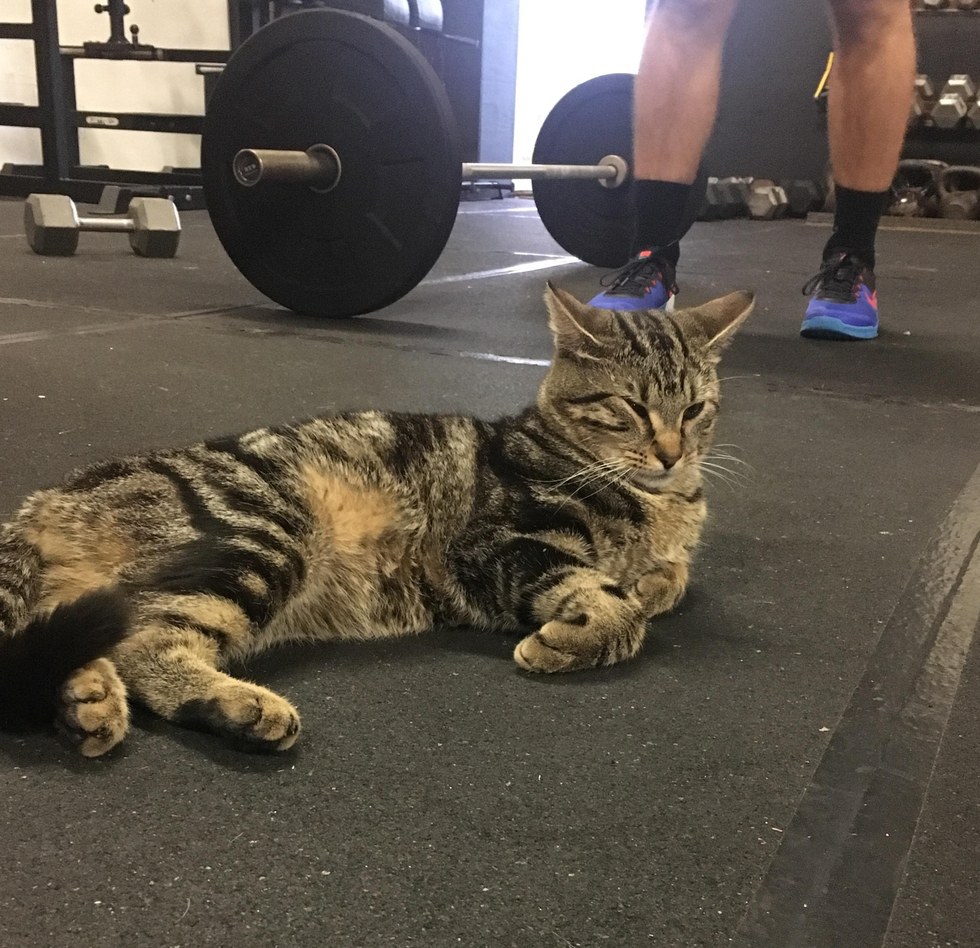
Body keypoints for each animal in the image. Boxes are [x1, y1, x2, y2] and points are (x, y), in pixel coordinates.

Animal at [0, 286, 756, 760]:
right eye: (630, 407)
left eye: (695, 410)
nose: (671, 451)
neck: (657, 498)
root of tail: (48, 499)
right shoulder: (497, 543)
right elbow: (615, 609)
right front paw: (576, 632)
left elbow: (669, 578)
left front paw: (648, 583)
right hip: (264, 537)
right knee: (148, 639)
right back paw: (237, 708)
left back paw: (87, 699)